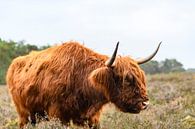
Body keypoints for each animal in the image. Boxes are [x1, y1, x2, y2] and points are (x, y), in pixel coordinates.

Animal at [6, 41, 161, 128]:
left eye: (141, 77)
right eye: (127, 79)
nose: (145, 103)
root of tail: (14, 63)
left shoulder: (92, 118)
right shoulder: (58, 115)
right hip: (24, 115)